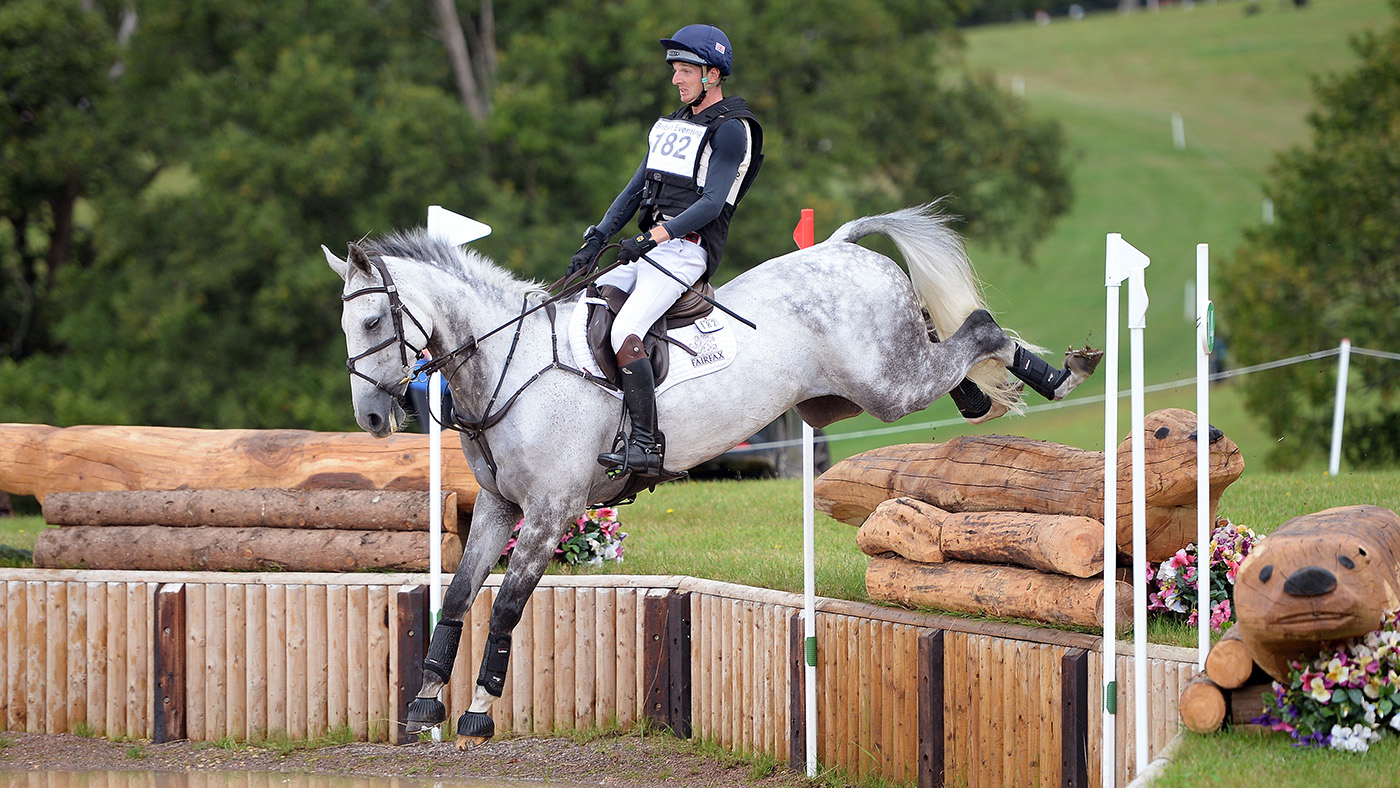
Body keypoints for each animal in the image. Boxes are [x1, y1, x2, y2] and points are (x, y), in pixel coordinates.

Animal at [322, 202, 1097, 744]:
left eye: (373, 325)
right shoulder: (498, 509)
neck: (508, 367)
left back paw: (1061, 373)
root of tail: (841, 246)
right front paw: (424, 704)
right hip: (866, 385)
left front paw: (480, 710)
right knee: (953, 351)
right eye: (346, 328)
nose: (372, 419)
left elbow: (507, 605)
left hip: (887, 385)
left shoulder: (549, 511)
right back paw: (990, 393)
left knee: (980, 330)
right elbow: (456, 596)